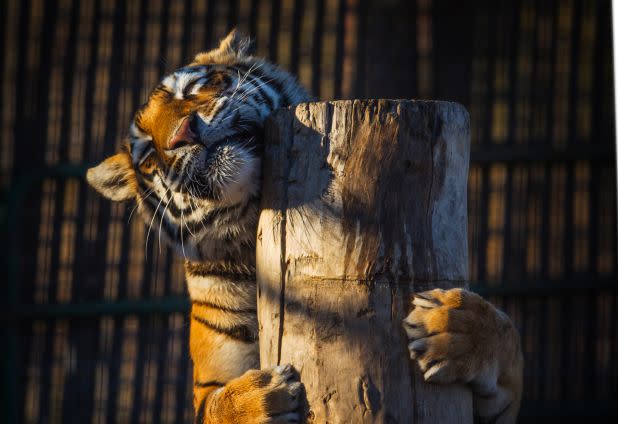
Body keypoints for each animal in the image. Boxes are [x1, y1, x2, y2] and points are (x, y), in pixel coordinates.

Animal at [85, 30, 520, 424]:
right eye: (147, 157)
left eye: (195, 88)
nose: (182, 133)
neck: (250, 230)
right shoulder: (207, 386)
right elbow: (217, 407)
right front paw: (260, 399)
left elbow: (508, 350)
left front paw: (457, 327)